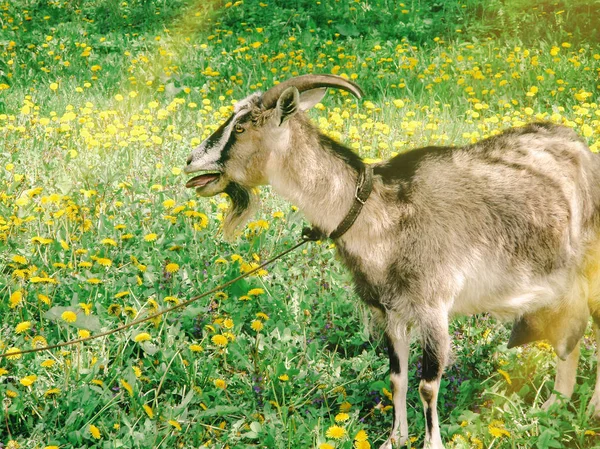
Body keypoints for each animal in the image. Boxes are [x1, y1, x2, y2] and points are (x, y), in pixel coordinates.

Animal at [184, 75, 600, 446]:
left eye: (240, 127)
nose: (190, 162)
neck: (383, 214)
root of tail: (583, 149)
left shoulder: (433, 308)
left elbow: (427, 386)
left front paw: (431, 444)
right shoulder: (390, 310)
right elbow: (397, 377)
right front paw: (394, 438)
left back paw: (591, 411)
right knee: (571, 337)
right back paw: (552, 407)